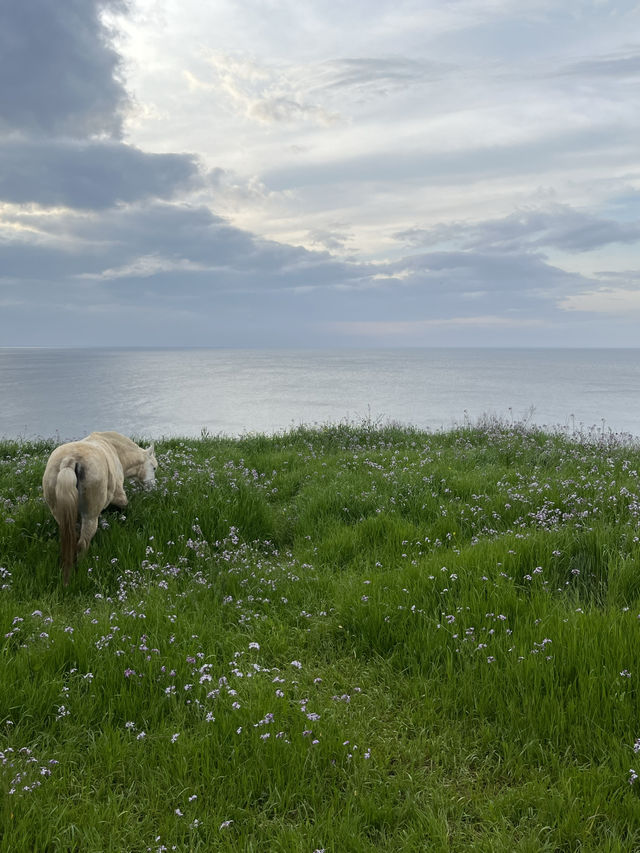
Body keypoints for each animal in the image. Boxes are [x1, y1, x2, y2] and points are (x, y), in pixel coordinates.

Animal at [42, 430, 158, 584]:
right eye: (154, 468)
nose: (153, 488)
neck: (115, 449)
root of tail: (69, 460)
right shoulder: (119, 495)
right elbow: (123, 506)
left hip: (60, 513)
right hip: (90, 516)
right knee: (82, 543)